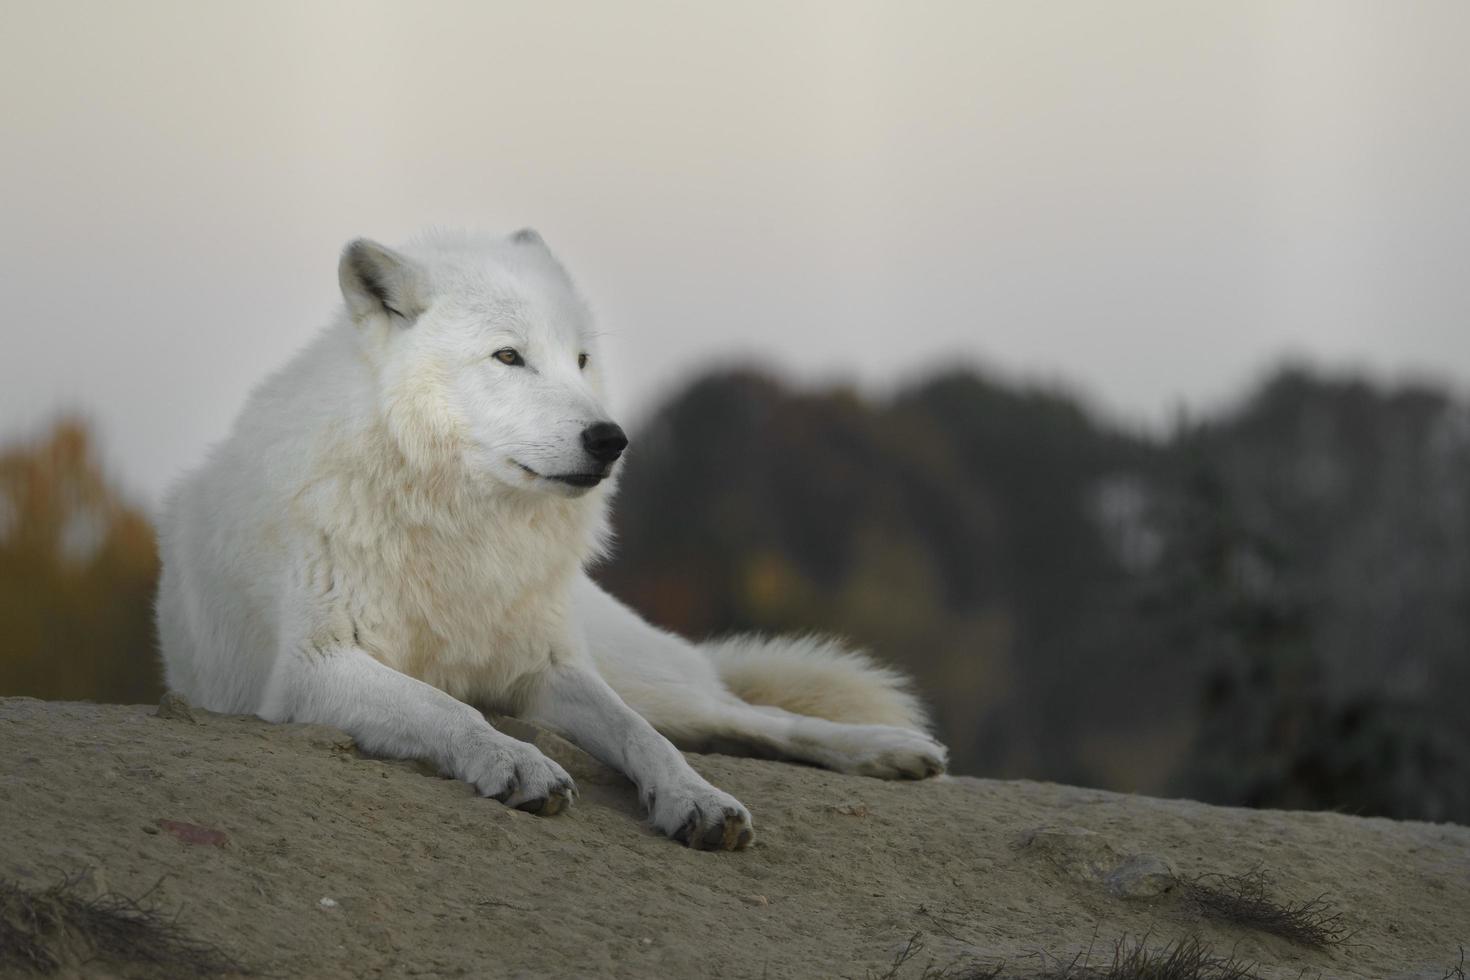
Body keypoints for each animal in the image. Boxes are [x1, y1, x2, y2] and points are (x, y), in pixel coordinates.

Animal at [155, 230, 946, 852]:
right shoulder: (310, 671)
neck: (463, 524)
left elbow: (638, 735)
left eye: (582, 361)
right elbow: (449, 706)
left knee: (749, 717)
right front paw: (518, 762)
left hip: (647, 676)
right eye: (509, 357)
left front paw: (695, 799)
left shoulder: (549, 669)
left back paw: (893, 752)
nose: (611, 439)